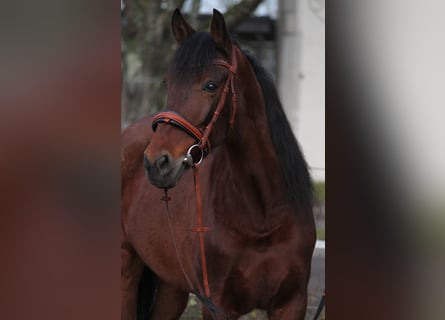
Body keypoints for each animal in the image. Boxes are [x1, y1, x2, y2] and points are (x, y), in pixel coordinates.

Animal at [121, 8, 316, 318]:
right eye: (167, 83)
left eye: (210, 85)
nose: (155, 163)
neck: (264, 216)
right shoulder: (218, 305)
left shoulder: (292, 303)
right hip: (126, 274)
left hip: (172, 287)